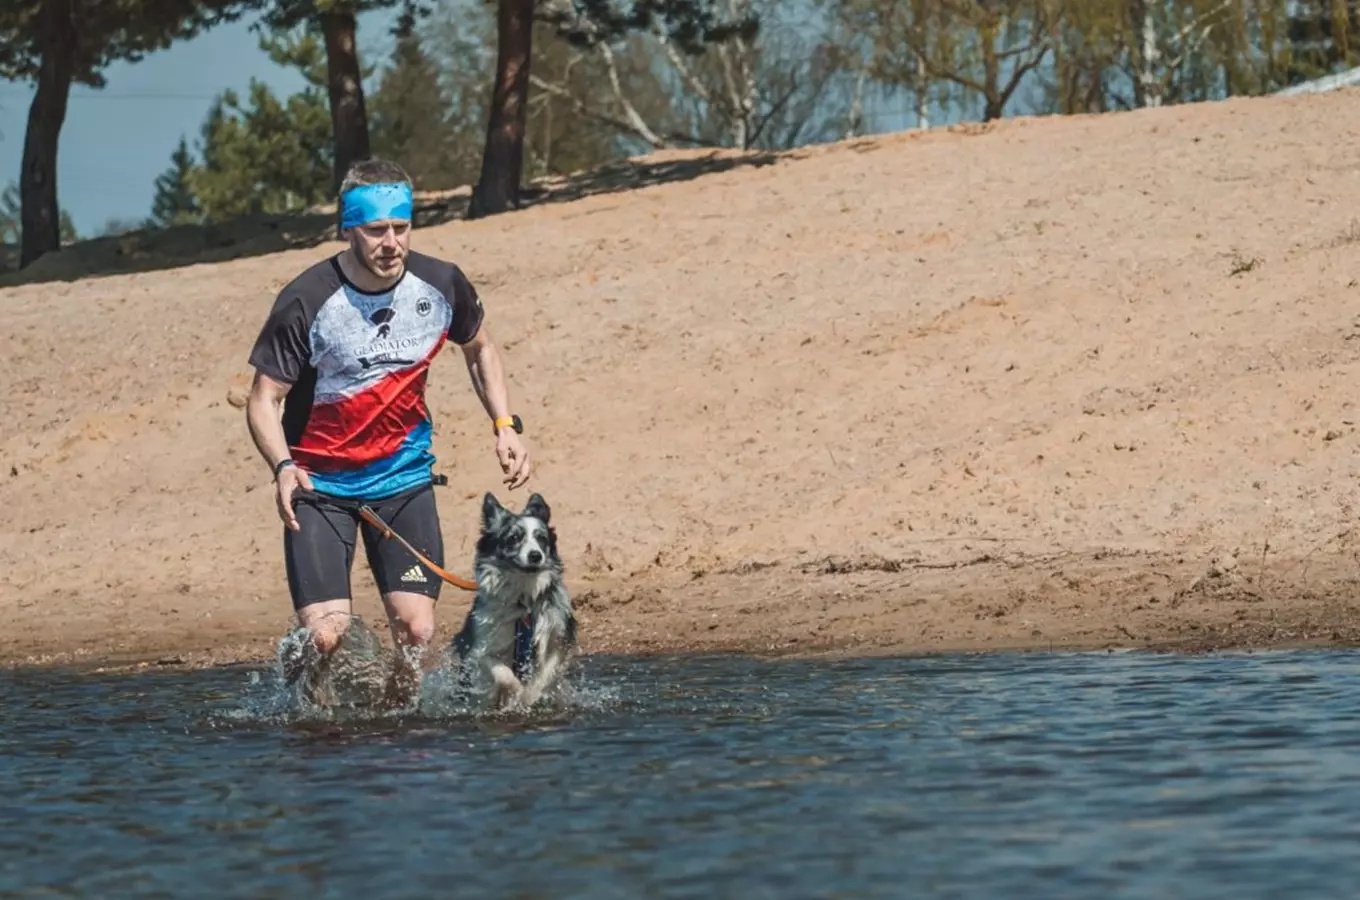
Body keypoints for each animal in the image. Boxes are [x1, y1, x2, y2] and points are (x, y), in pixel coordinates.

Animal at [446, 494, 573, 712]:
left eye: (541, 538)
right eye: (514, 538)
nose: (535, 555)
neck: (524, 600)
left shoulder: (558, 637)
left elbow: (546, 673)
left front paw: (530, 695)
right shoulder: (478, 647)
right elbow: (503, 674)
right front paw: (516, 694)